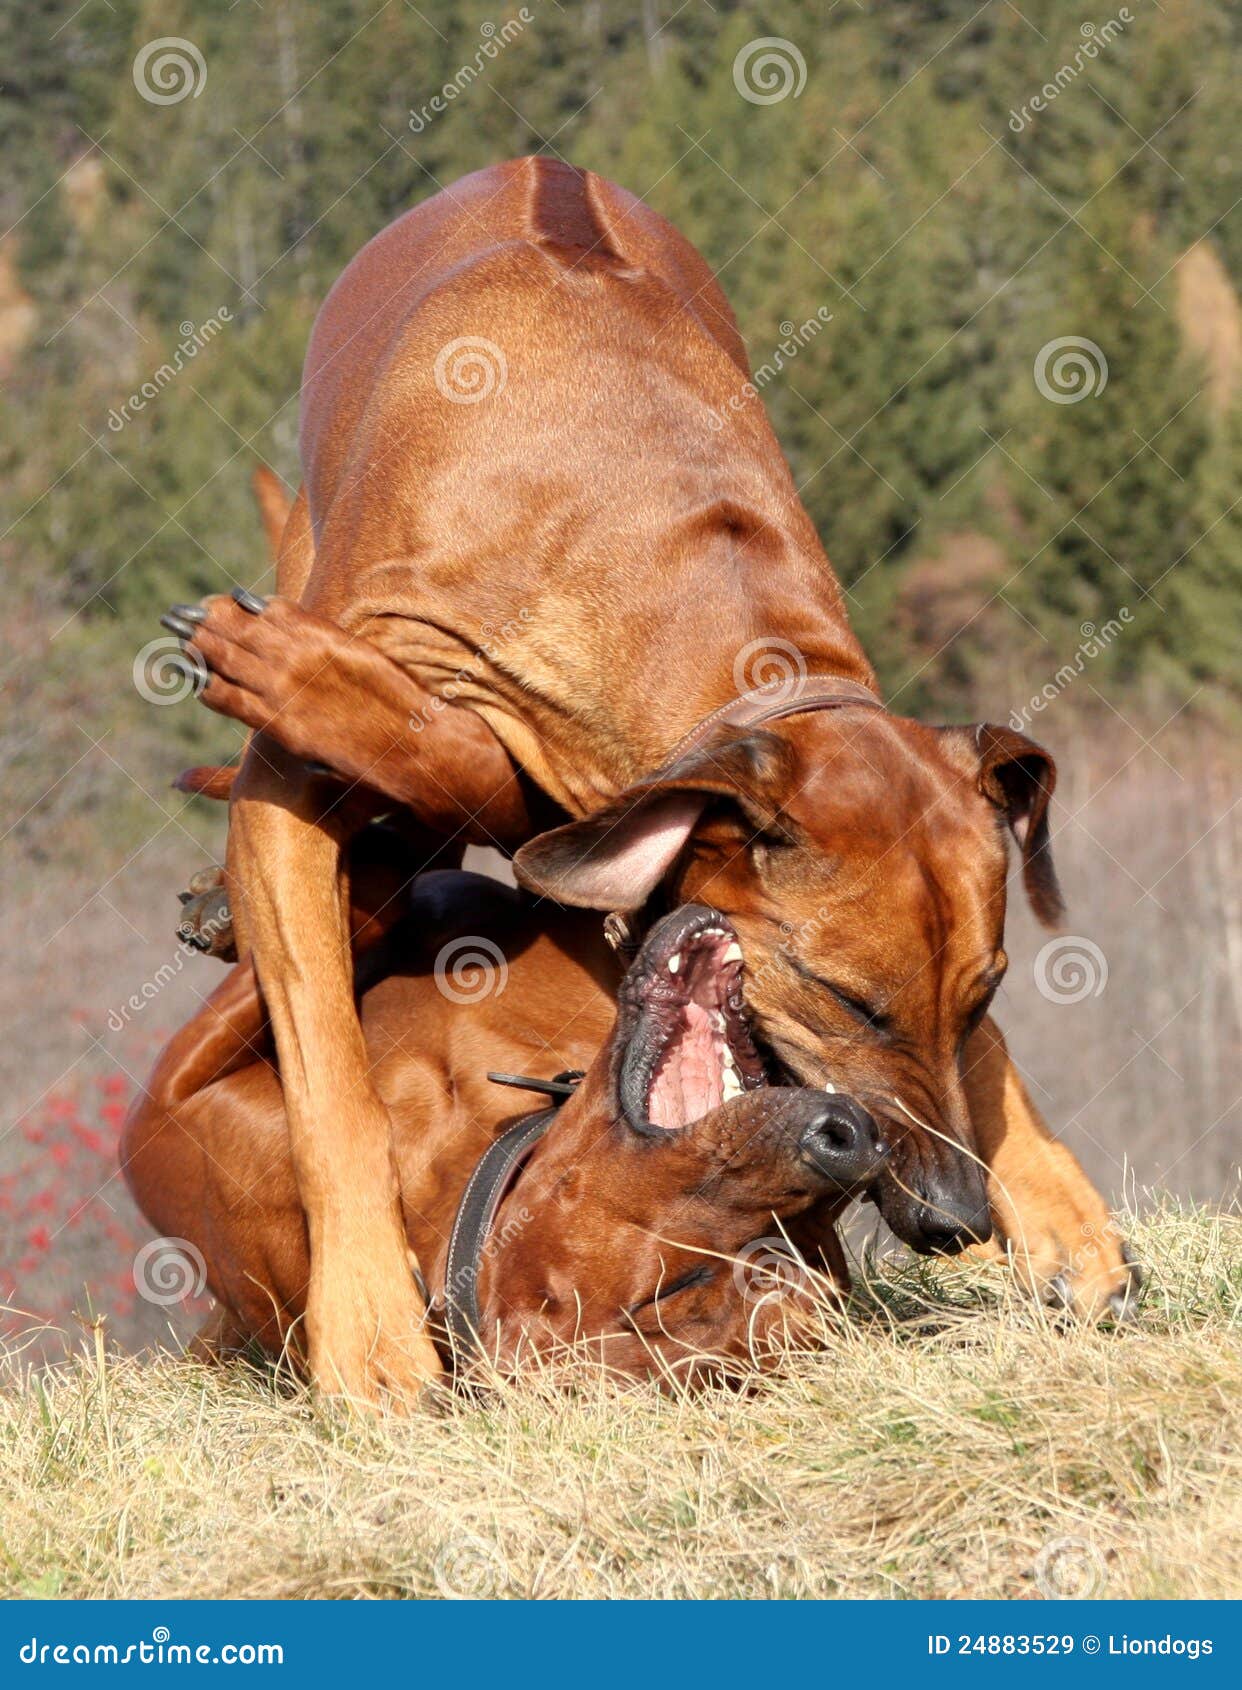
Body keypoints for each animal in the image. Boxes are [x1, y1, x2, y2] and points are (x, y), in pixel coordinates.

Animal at [160, 158, 1128, 1399]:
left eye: (985, 993)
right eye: (847, 998)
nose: (954, 1213)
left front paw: (1056, 1209)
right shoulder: (296, 788)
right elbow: (330, 1072)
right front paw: (369, 1328)